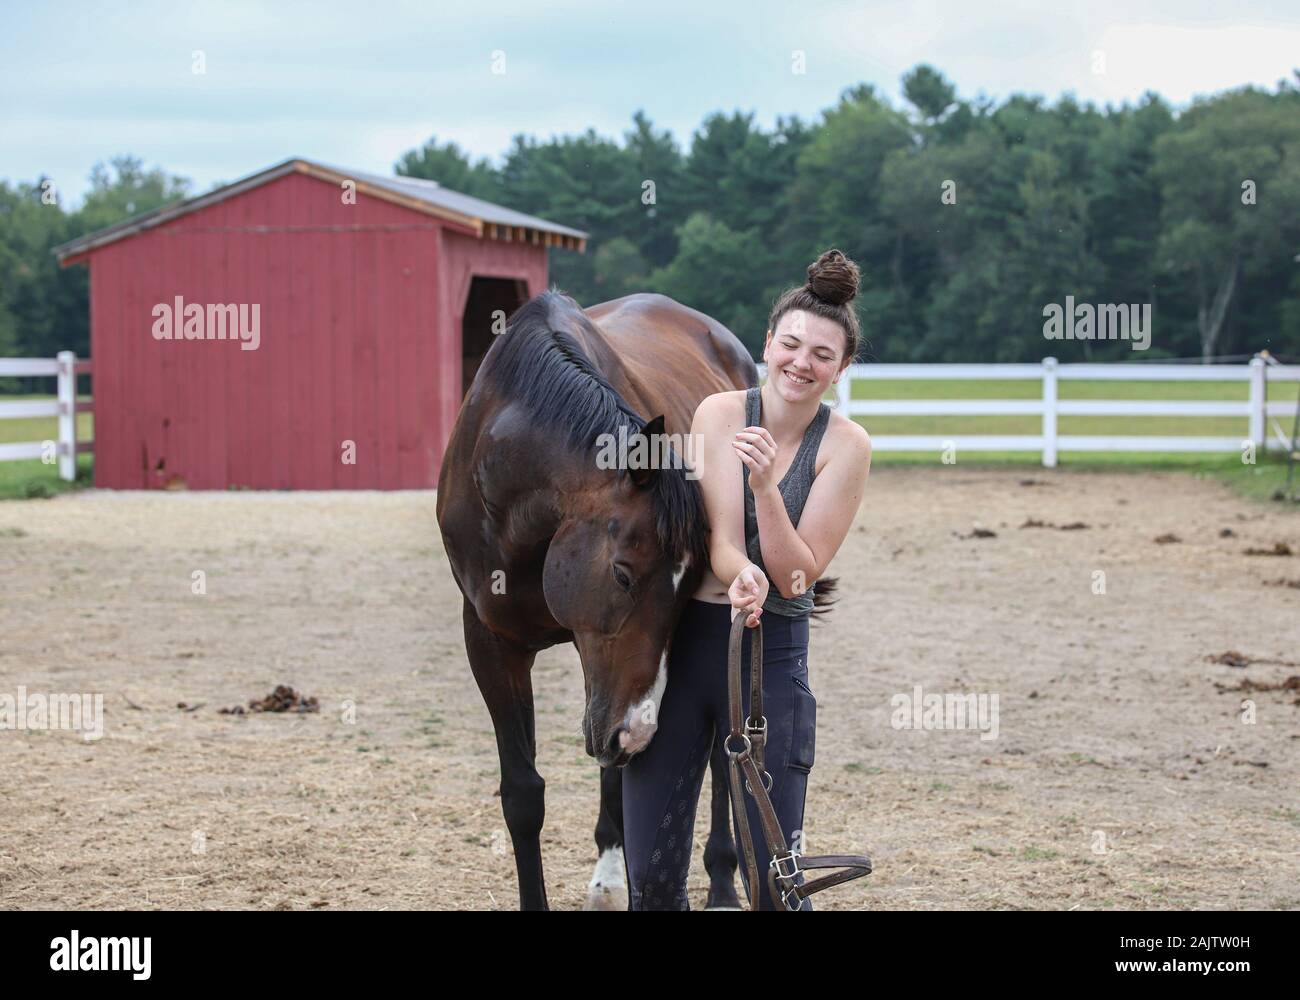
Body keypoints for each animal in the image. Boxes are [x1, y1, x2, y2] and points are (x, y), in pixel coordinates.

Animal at [439, 284, 759, 910]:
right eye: (623, 575)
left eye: (688, 589)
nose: (636, 732)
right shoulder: (489, 642)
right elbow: (523, 794)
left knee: (716, 749)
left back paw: (719, 879)